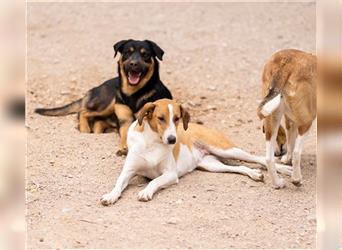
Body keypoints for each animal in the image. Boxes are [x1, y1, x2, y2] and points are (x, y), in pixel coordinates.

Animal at [35, 39, 171, 155]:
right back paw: (84, 128)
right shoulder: (125, 120)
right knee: (83, 111)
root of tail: (95, 88)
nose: (133, 64)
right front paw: (123, 147)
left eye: (145, 54)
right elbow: (125, 135)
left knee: (96, 122)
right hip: (107, 103)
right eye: (127, 52)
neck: (134, 93)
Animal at [101, 98, 292, 204]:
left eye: (177, 118)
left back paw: (285, 170)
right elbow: (118, 184)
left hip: (226, 149)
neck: (152, 142)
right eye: (160, 118)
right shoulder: (128, 171)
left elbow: (154, 181)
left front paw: (146, 191)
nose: (173, 140)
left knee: (258, 158)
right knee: (239, 167)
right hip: (212, 165)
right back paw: (254, 174)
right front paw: (110, 196)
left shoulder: (170, 174)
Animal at [258, 48, 316, 188]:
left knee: (269, 158)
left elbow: (290, 143)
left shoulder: (290, 121)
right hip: (307, 121)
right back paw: (296, 179)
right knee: (297, 153)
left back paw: (277, 183)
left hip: (273, 118)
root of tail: (285, 62)